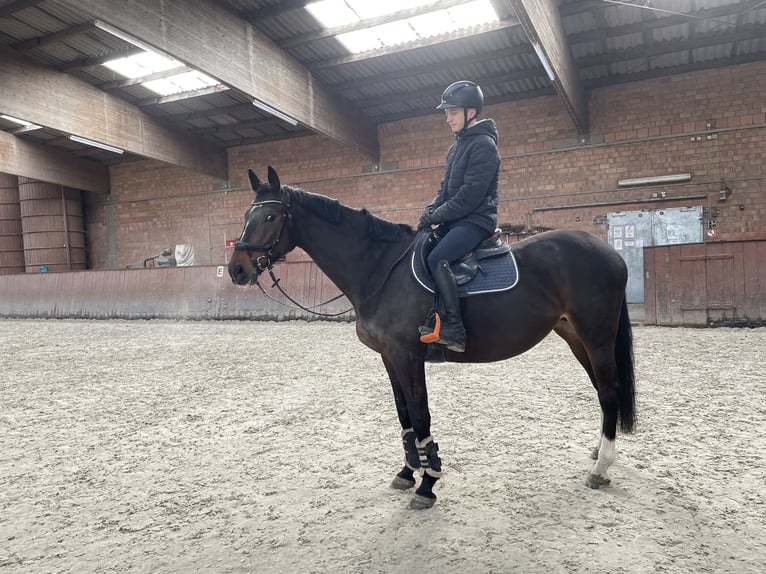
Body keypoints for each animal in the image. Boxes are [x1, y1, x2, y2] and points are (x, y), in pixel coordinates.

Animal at [229, 166, 636, 509]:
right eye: (247, 216)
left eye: (270, 217)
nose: (237, 270)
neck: (380, 268)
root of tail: (611, 253)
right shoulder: (389, 357)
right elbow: (404, 414)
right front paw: (408, 471)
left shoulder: (408, 355)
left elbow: (421, 414)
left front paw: (427, 484)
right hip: (575, 336)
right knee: (602, 391)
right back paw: (597, 453)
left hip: (596, 337)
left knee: (609, 390)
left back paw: (601, 468)